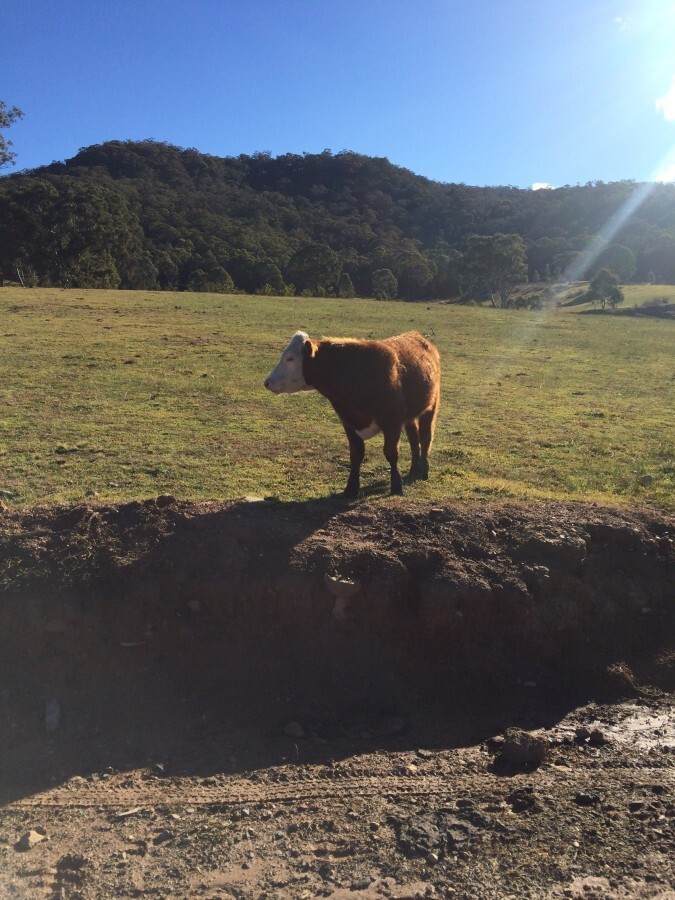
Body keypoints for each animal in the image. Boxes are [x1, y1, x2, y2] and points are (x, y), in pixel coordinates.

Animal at [264, 332, 444, 500]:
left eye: (290, 358)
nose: (267, 382)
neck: (355, 373)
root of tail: (419, 337)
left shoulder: (391, 423)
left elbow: (391, 453)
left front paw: (396, 485)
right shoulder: (349, 423)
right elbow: (356, 455)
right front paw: (351, 488)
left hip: (431, 407)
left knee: (426, 437)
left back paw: (423, 470)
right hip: (410, 417)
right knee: (414, 439)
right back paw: (414, 469)